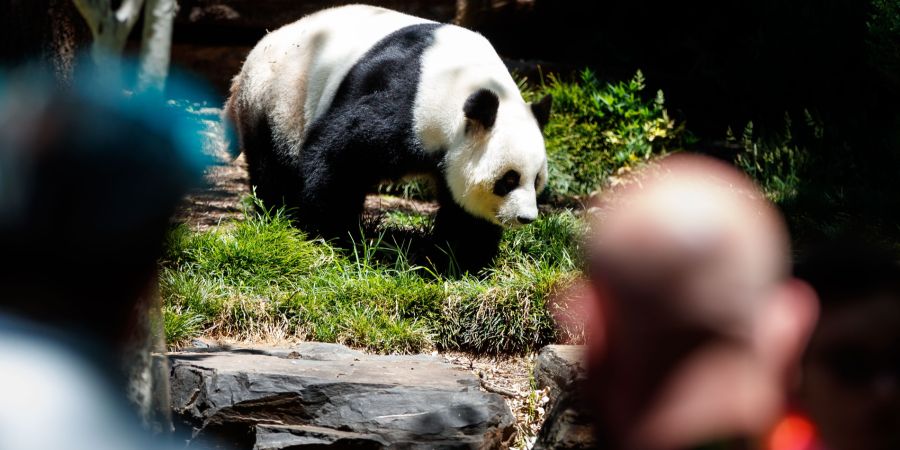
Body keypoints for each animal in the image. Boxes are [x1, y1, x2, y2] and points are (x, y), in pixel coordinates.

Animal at [225, 4, 551, 273]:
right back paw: (280, 213)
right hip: (275, 101)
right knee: (273, 164)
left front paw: (461, 257)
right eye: (508, 179)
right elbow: (340, 155)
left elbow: (464, 210)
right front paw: (335, 233)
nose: (526, 218)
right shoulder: (407, 101)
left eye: (536, 180)